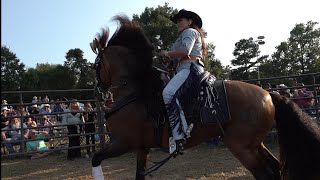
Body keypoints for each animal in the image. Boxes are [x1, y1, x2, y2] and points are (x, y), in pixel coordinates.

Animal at [89, 15, 320, 179]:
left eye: (96, 65)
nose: (98, 92)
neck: (135, 92)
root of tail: (268, 94)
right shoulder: (141, 148)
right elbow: (138, 175)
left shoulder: (124, 142)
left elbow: (95, 158)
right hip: (255, 144)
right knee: (275, 168)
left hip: (242, 147)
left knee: (265, 175)